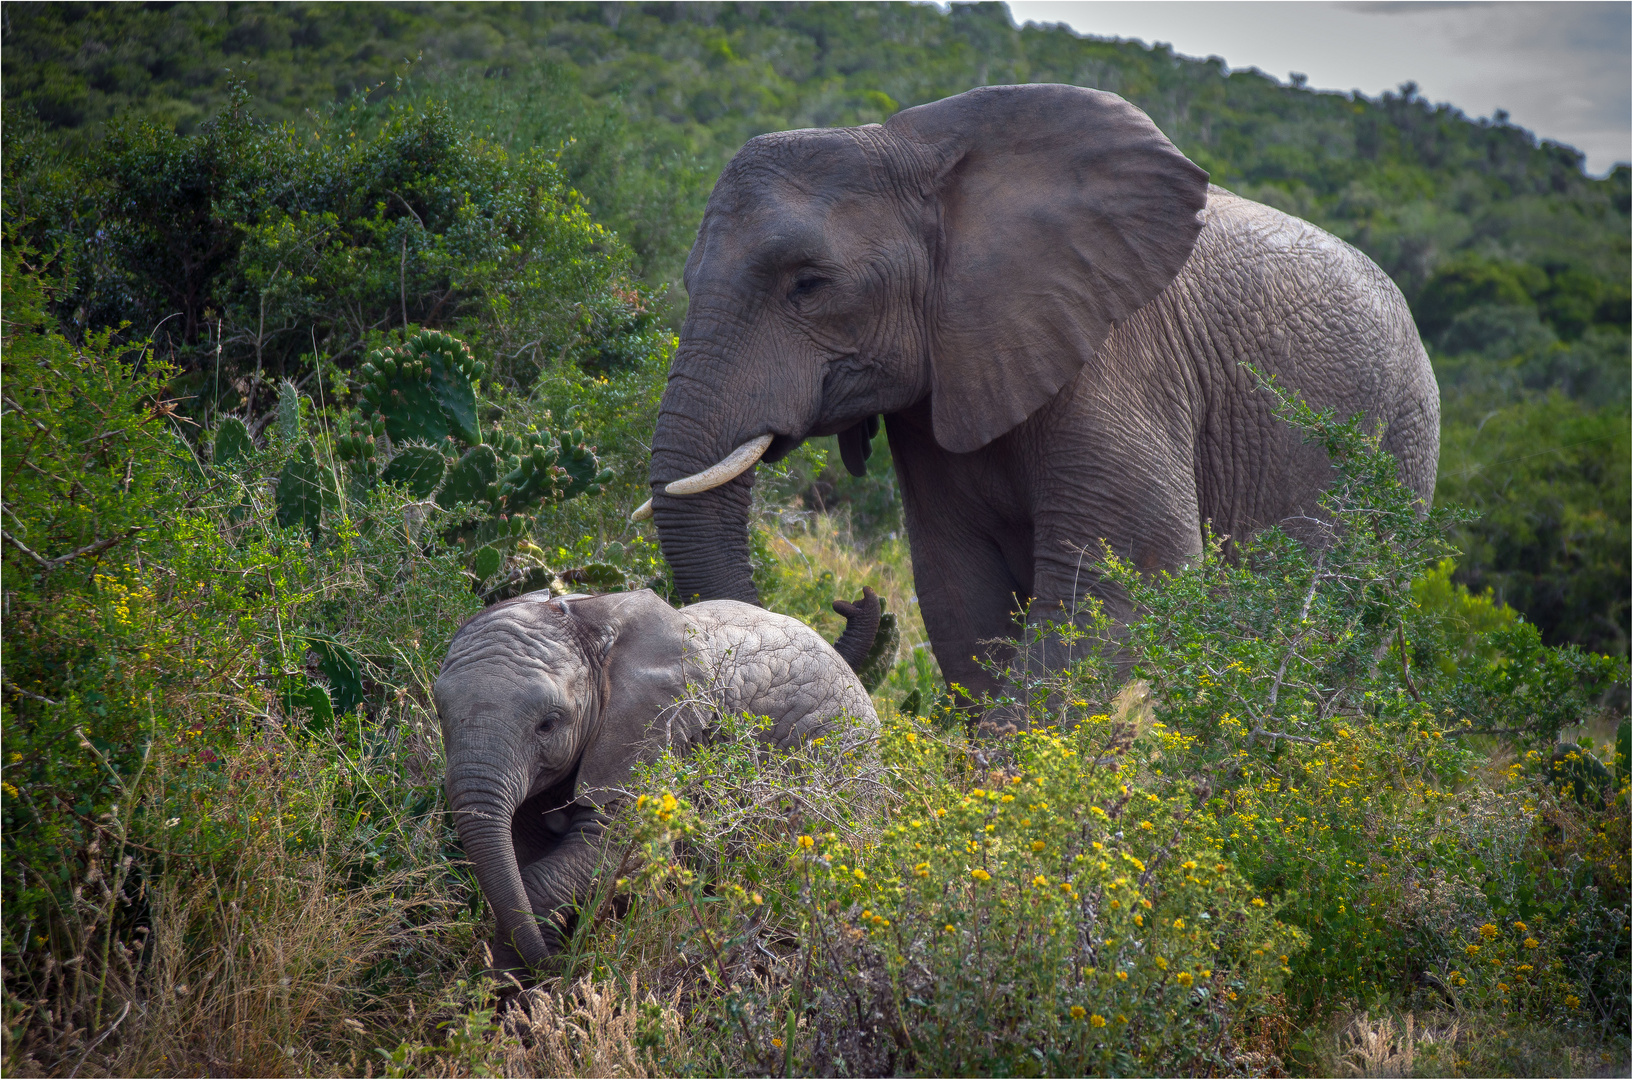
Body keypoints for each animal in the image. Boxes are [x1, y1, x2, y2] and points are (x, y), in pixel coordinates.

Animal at [431, 584, 868, 973]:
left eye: (548, 725)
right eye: (440, 715)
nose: (556, 967)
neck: (588, 618)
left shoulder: (661, 732)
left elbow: (614, 841)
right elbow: (523, 852)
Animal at [643, 86, 1437, 709]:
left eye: (808, 284)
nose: (854, 600)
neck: (920, 152)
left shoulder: (1116, 362)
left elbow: (1128, 574)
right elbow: (958, 587)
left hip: (1400, 452)